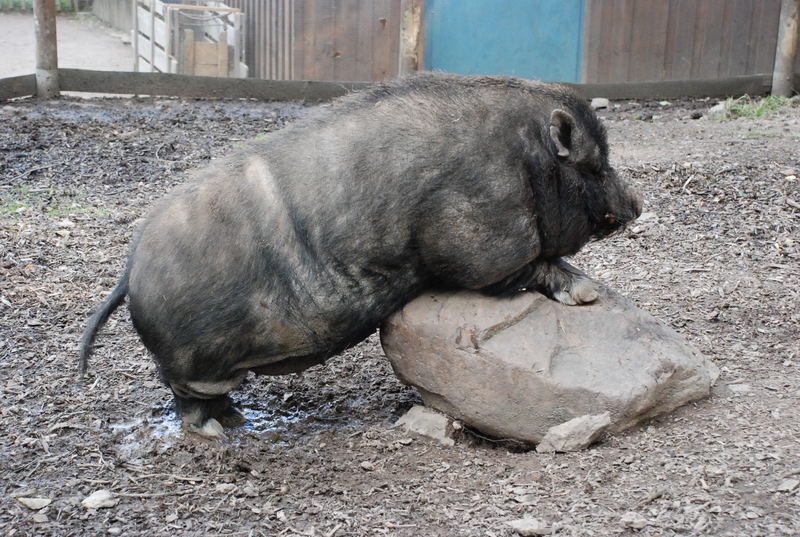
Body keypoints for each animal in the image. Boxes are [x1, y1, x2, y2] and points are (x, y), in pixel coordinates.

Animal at [79, 73, 644, 438]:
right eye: (596, 166)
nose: (637, 204)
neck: (527, 161)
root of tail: (130, 270)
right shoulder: (479, 241)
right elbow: (522, 268)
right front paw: (587, 292)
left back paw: (236, 420)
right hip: (191, 361)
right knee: (185, 396)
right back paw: (217, 432)